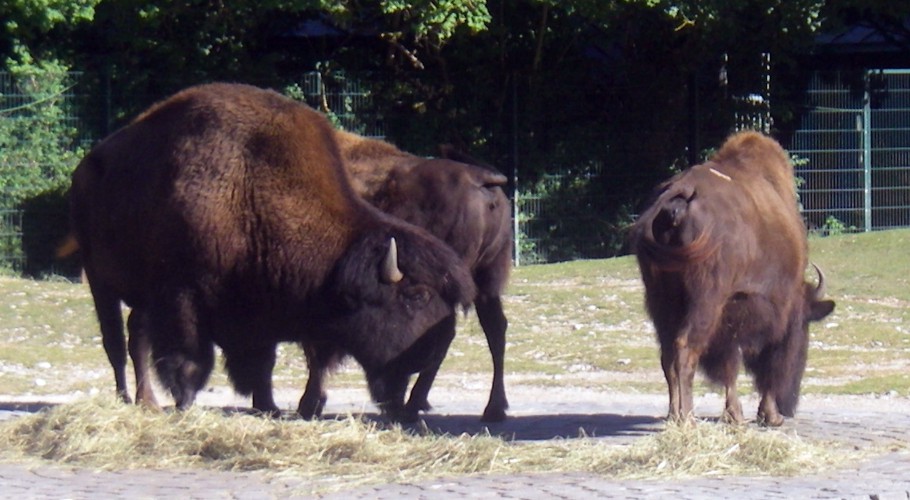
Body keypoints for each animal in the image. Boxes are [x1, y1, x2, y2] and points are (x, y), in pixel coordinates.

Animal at [67, 83, 476, 418]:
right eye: (415, 296)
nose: (438, 342)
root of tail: (86, 167)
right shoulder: (183, 295)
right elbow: (191, 358)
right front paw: (185, 402)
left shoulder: (260, 310)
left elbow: (267, 362)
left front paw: (270, 405)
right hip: (101, 281)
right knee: (116, 341)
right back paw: (128, 398)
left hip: (138, 295)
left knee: (136, 334)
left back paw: (146, 401)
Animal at [631, 131, 835, 426]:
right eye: (803, 325)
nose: (788, 407)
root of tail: (676, 201)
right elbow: (752, 362)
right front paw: (760, 414)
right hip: (705, 301)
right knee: (685, 349)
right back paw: (688, 417)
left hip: (661, 301)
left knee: (667, 354)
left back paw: (673, 415)